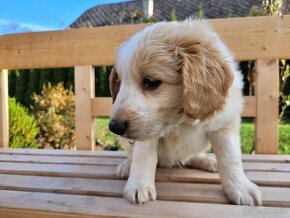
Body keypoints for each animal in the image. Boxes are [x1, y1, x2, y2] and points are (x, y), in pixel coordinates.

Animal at [109, 19, 262, 206]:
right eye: (120, 82)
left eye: (150, 82)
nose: (114, 127)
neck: (180, 118)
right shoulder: (149, 128)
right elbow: (143, 155)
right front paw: (139, 185)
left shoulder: (224, 125)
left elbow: (230, 157)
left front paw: (241, 187)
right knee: (132, 154)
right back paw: (126, 166)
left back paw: (207, 160)